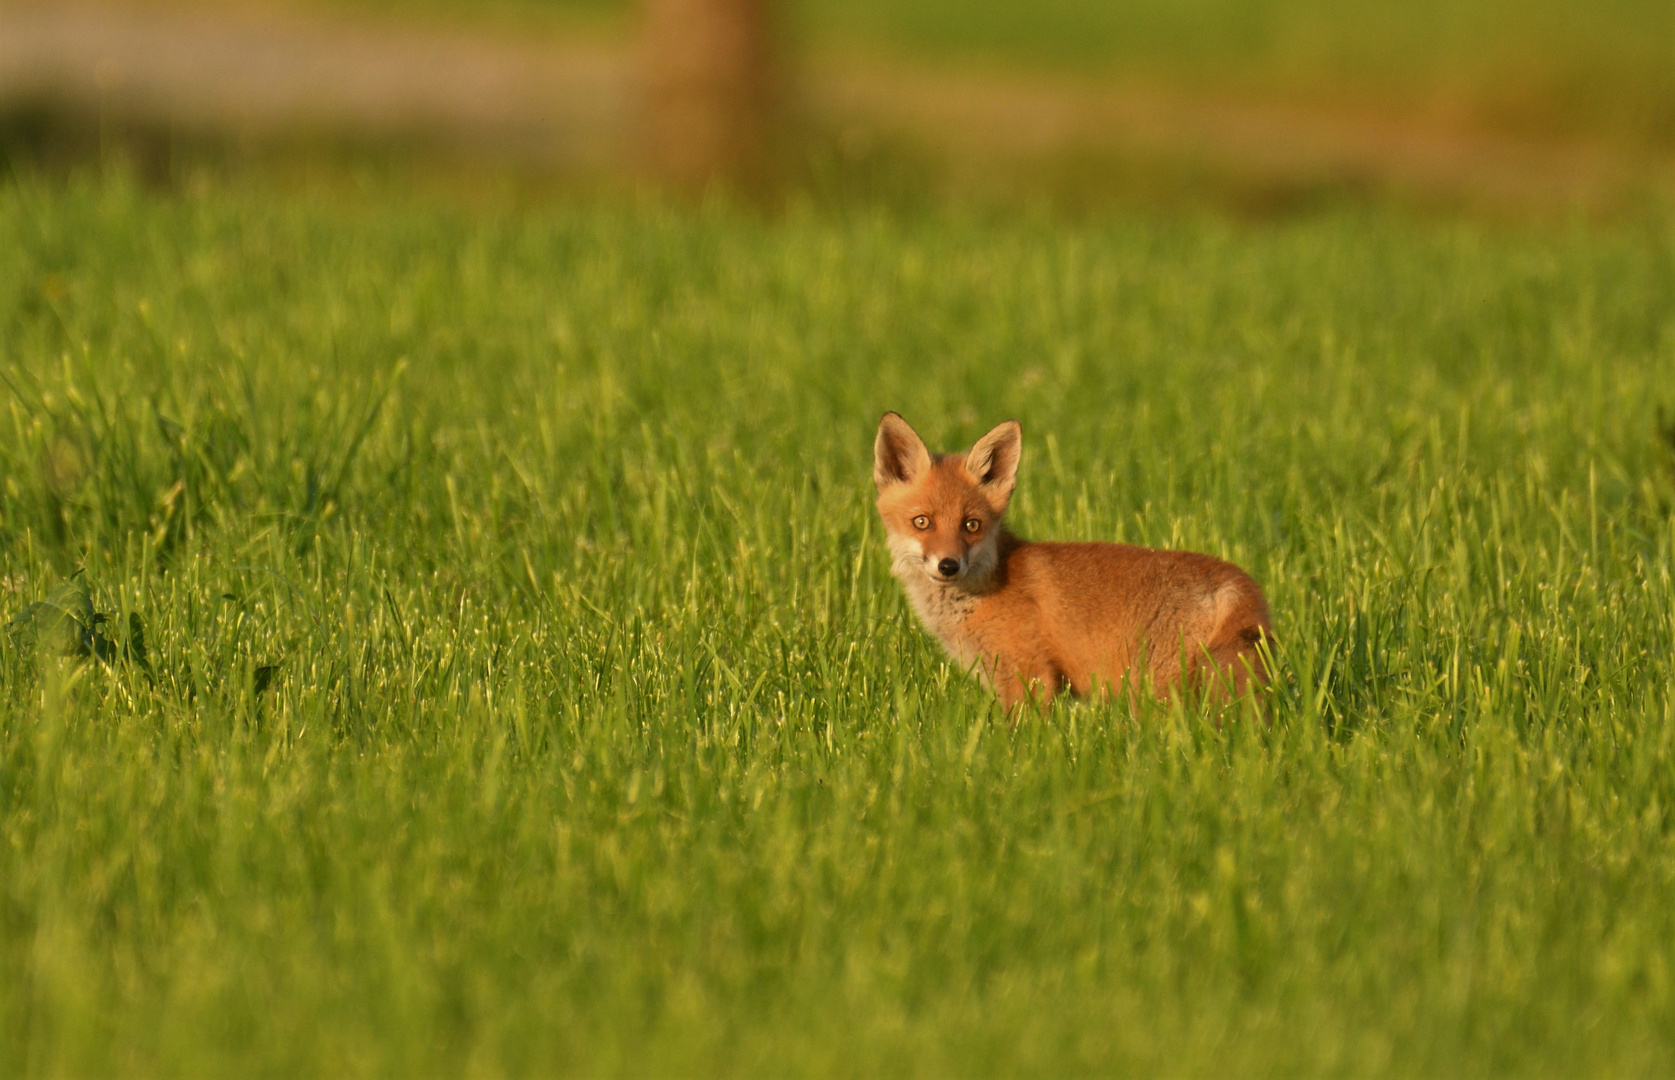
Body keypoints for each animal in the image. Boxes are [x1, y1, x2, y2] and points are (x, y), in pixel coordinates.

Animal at [871, 410, 1273, 706]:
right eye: (922, 522)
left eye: (971, 525)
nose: (948, 565)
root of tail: (1237, 578)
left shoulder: (1030, 674)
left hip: (1155, 686)